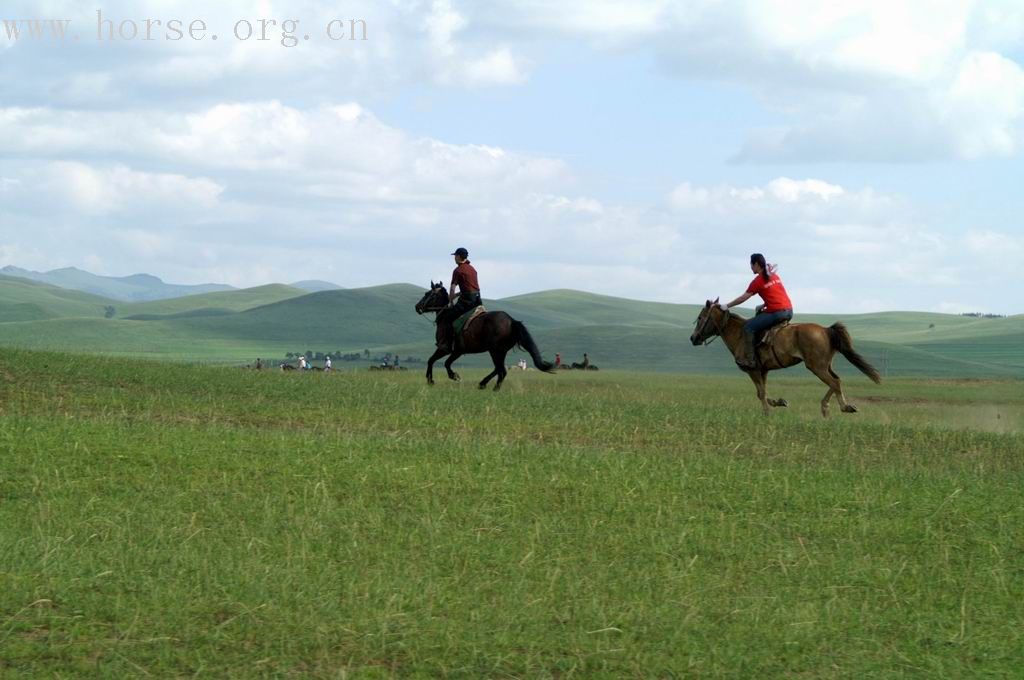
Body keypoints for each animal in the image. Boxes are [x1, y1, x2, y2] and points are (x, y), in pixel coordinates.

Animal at [413, 280, 557, 387]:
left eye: (427, 293)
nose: (417, 307)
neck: (444, 317)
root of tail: (511, 321)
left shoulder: (447, 349)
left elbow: (436, 361)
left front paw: (440, 378)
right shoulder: (455, 351)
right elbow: (438, 361)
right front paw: (438, 378)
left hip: (495, 350)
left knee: (501, 370)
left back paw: (489, 386)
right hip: (500, 351)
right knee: (499, 370)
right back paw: (486, 384)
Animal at [692, 299, 884, 417]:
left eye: (700, 317)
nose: (693, 338)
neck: (739, 334)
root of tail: (826, 330)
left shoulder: (752, 369)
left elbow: (761, 393)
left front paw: (767, 414)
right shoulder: (763, 370)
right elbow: (763, 392)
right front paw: (780, 402)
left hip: (816, 366)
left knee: (835, 382)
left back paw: (841, 407)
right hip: (825, 365)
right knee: (837, 380)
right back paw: (830, 407)